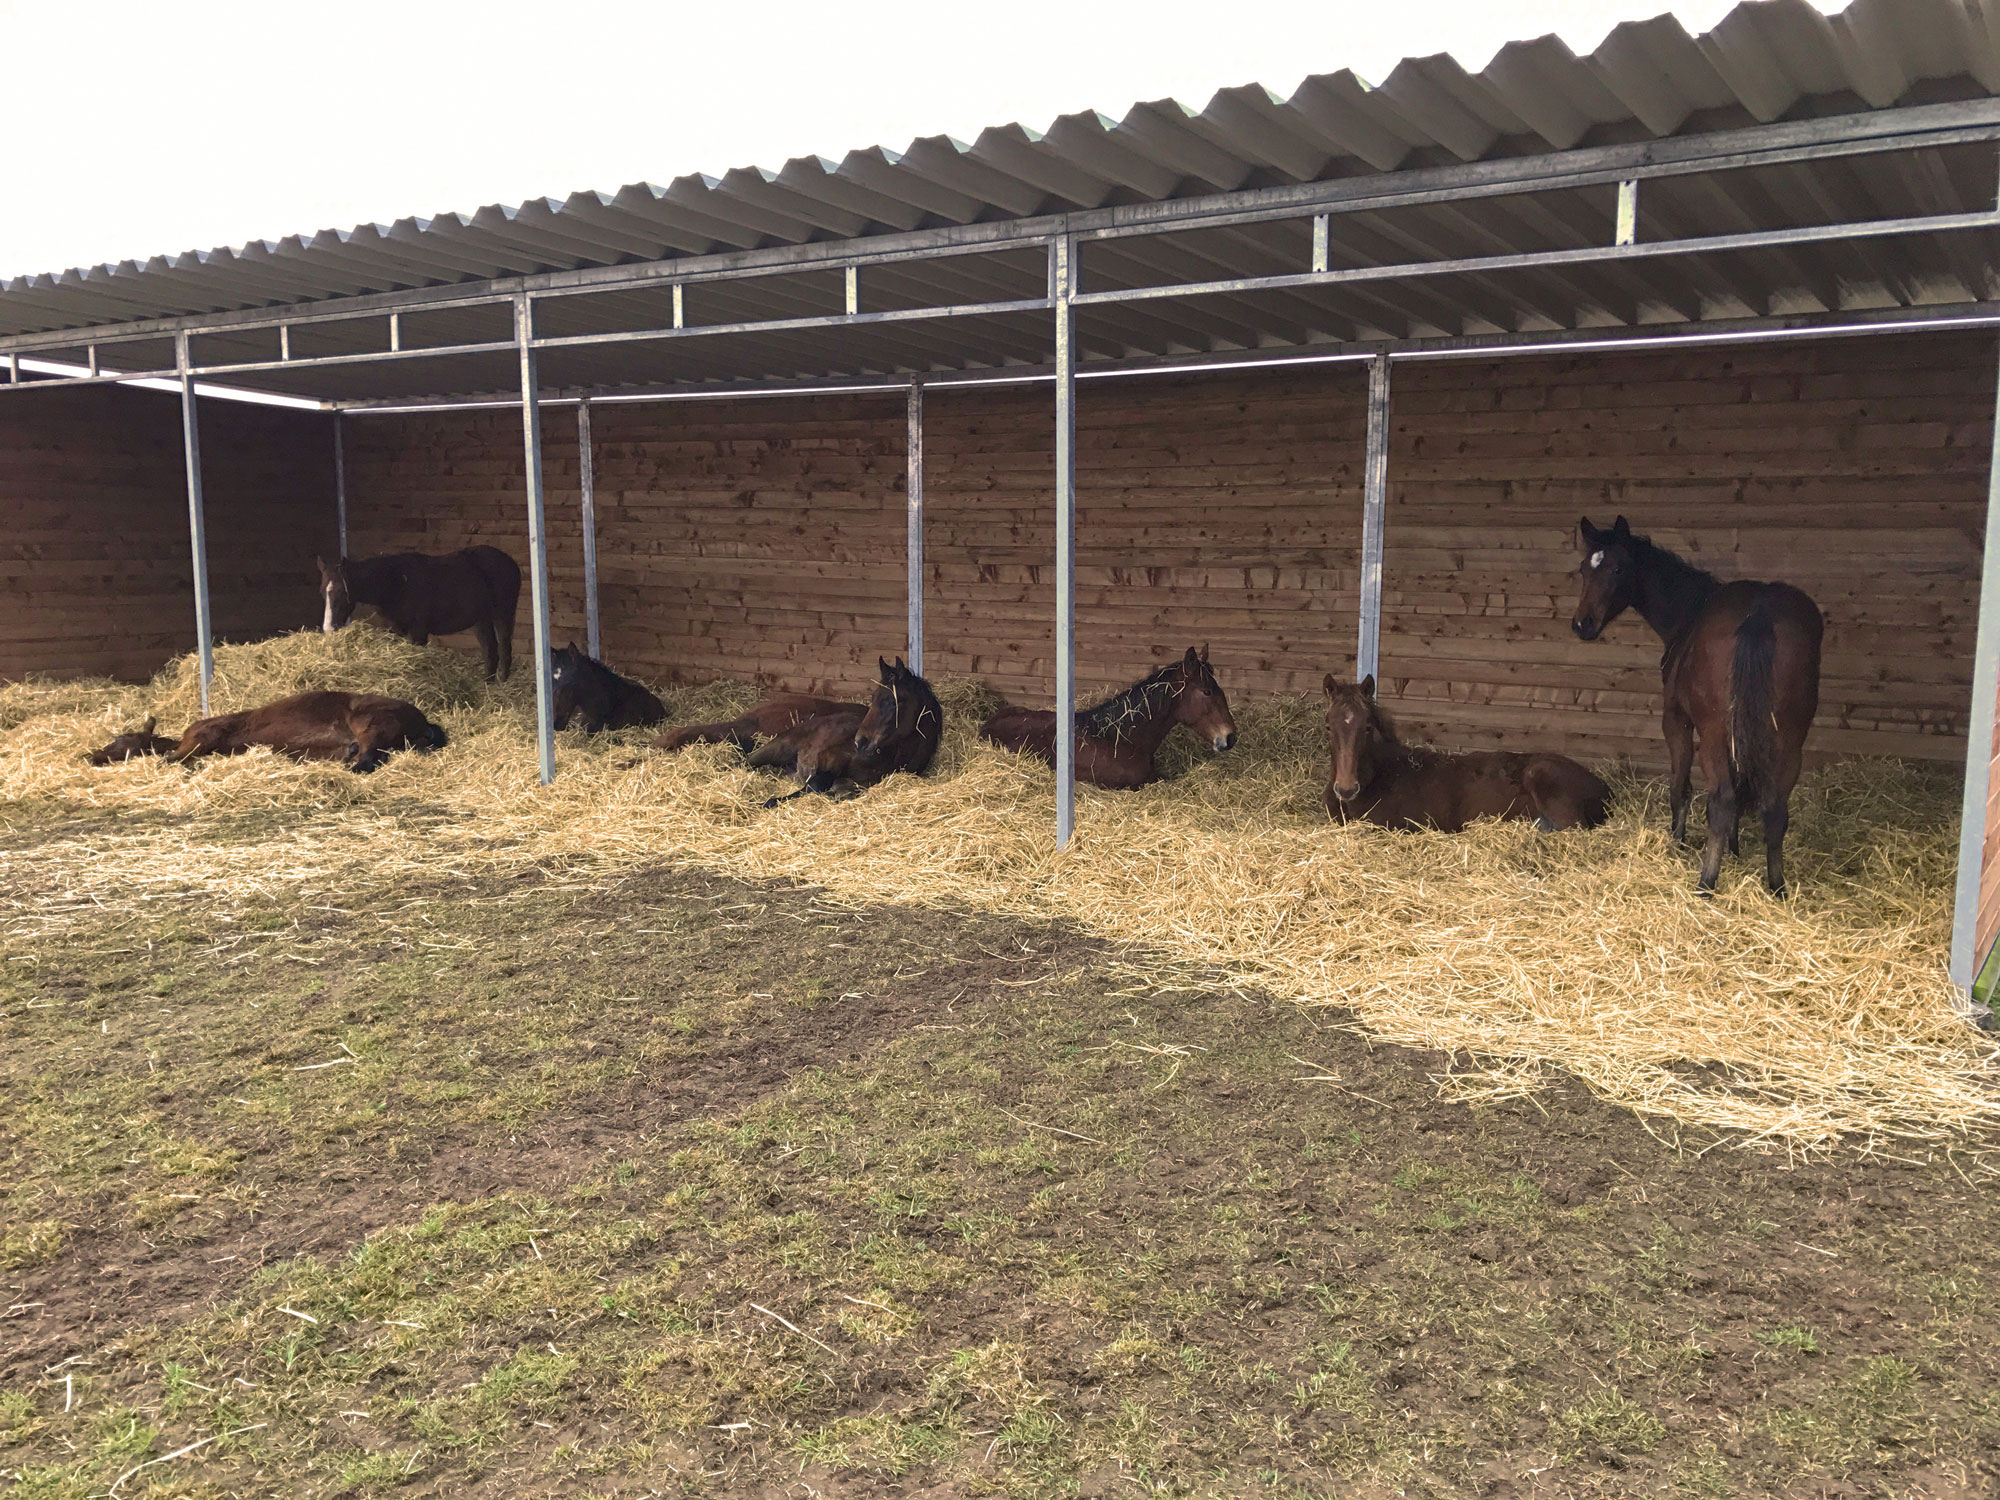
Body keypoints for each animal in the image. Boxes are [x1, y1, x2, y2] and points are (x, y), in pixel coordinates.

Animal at [318, 546, 522, 681]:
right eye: (322, 592)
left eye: (342, 593)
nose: (328, 628)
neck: (396, 581)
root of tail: (510, 562)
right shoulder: (399, 629)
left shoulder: (418, 631)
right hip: (481, 620)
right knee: (490, 651)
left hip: (503, 614)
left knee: (504, 648)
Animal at [745, 657, 943, 805]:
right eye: (873, 697)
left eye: (894, 701)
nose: (860, 742)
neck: (890, 755)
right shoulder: (831, 759)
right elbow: (816, 784)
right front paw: (765, 802)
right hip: (778, 748)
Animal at [1571, 514, 1823, 895]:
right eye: (1585, 569)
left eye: (1618, 569)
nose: (1582, 624)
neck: (1688, 614)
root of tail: (1759, 613)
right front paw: (1734, 849)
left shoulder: (1677, 720)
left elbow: (1681, 787)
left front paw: (1677, 842)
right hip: (1789, 738)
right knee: (1775, 808)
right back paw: (1777, 887)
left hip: (1715, 734)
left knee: (1721, 800)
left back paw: (1706, 883)